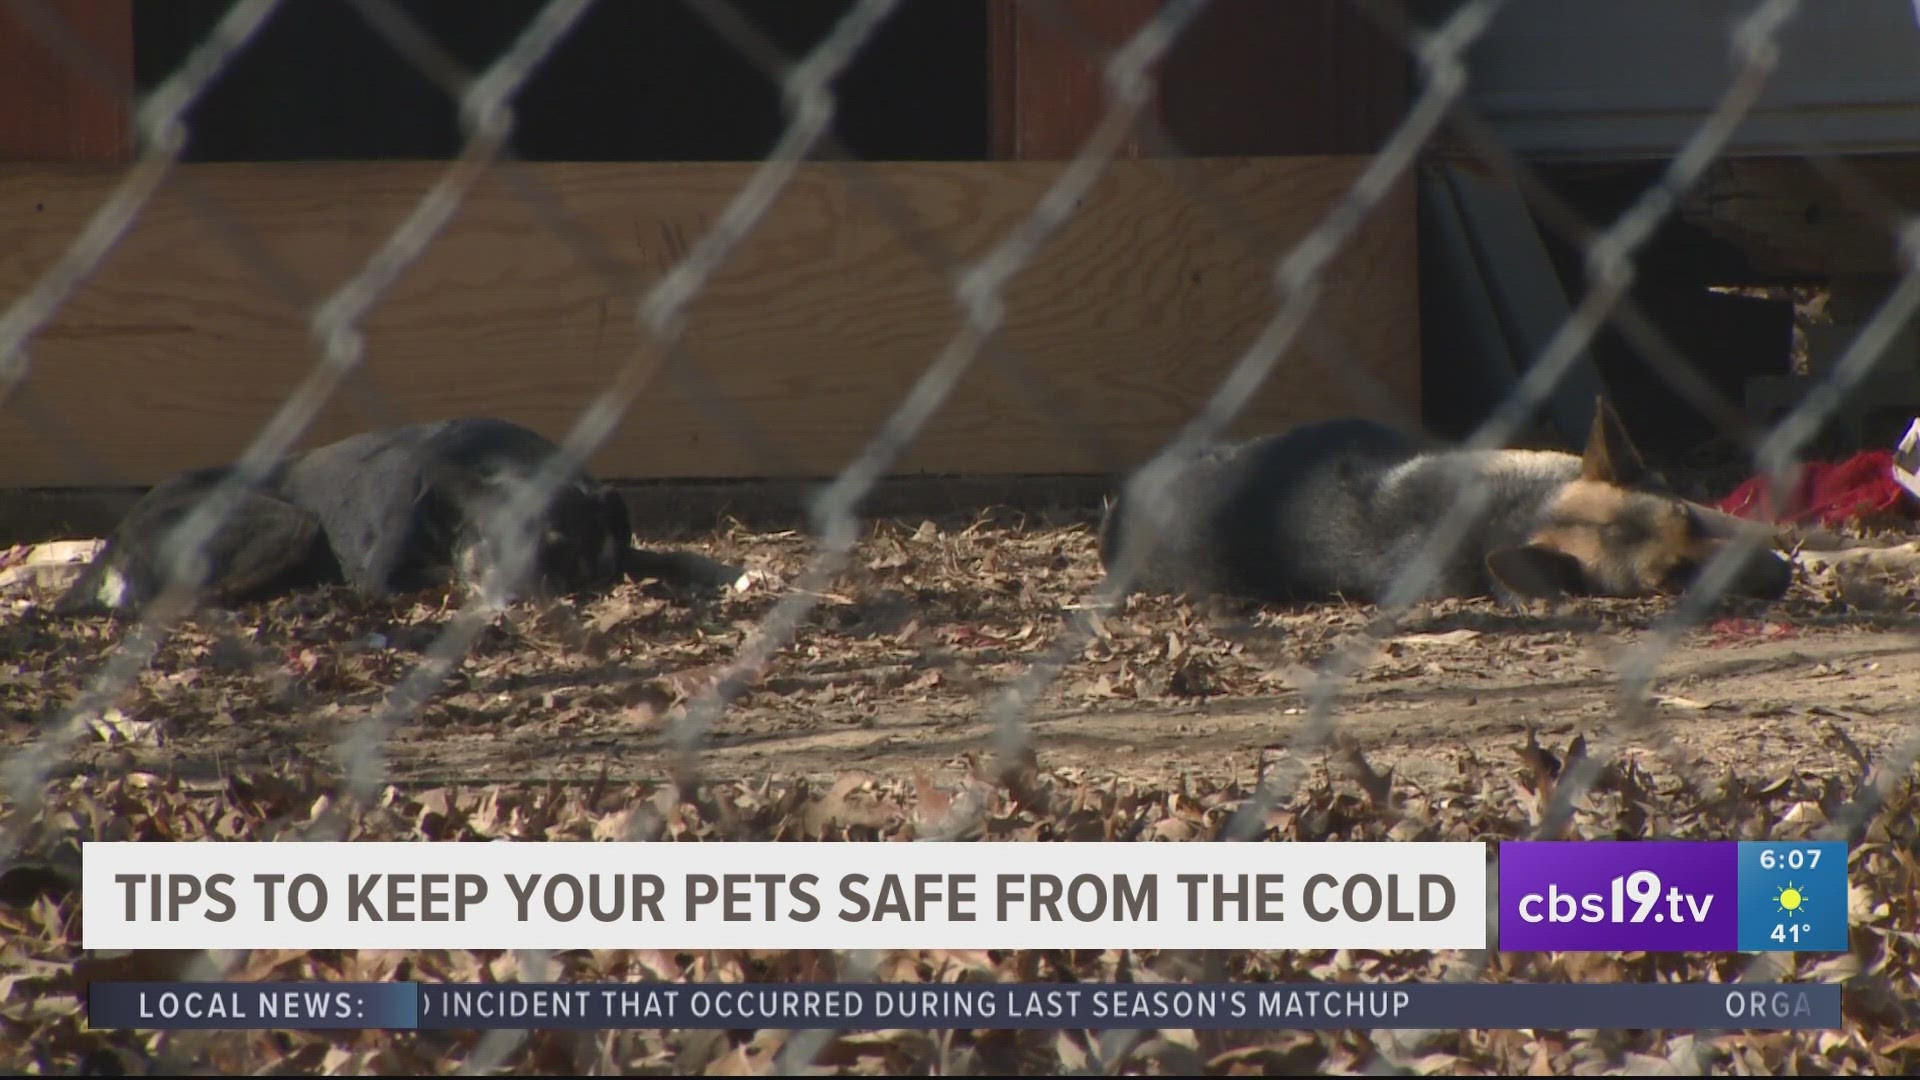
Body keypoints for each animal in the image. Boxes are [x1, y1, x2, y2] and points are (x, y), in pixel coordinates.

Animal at [60, 413, 729, 611]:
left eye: (561, 543)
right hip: (287, 521)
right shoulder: (385, 572)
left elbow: (663, 554)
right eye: (491, 546)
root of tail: (115, 538)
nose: (517, 599)